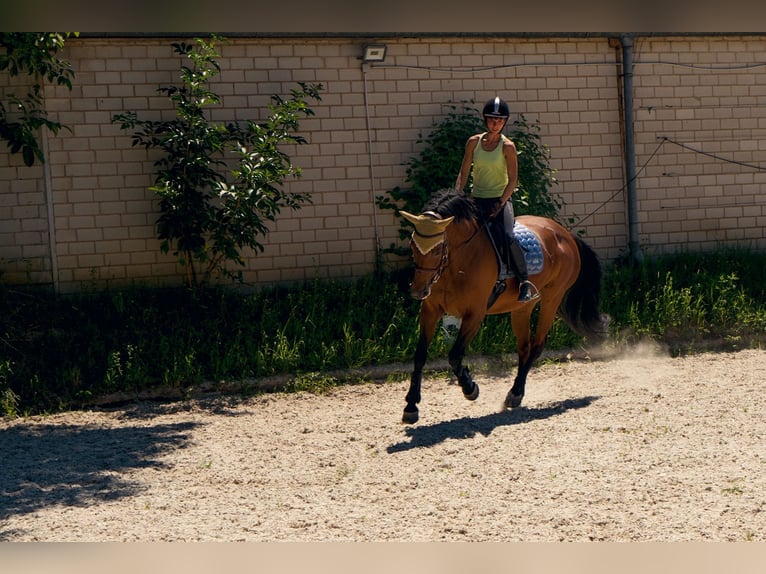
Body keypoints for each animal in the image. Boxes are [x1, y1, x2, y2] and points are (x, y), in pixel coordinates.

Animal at [400, 188, 608, 424]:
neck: (459, 260)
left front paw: (470, 388)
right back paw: (515, 394)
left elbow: (454, 355)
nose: (418, 291)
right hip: (522, 308)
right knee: (525, 347)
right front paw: (411, 406)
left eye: (436, 250)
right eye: (412, 246)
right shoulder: (430, 310)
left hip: (552, 298)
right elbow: (420, 355)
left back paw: (516, 393)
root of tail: (565, 234)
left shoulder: (474, 314)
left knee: (537, 344)